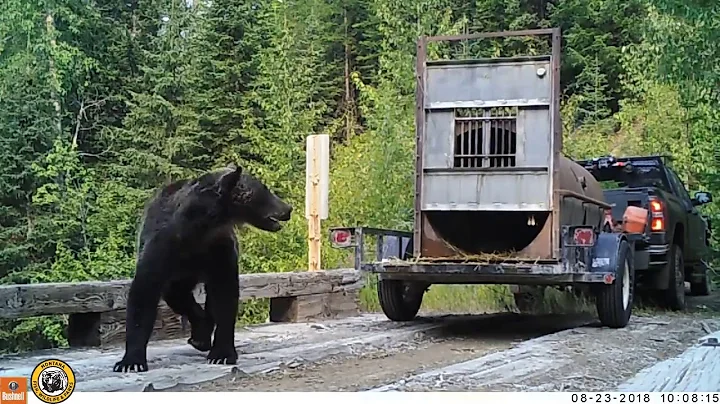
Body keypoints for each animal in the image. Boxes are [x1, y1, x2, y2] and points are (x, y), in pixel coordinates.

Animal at [112, 164, 292, 372]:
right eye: (265, 189)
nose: (288, 208)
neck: (200, 228)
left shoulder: (219, 248)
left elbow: (224, 295)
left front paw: (222, 354)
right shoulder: (162, 246)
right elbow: (144, 293)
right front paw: (130, 362)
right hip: (178, 274)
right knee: (176, 295)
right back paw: (200, 335)